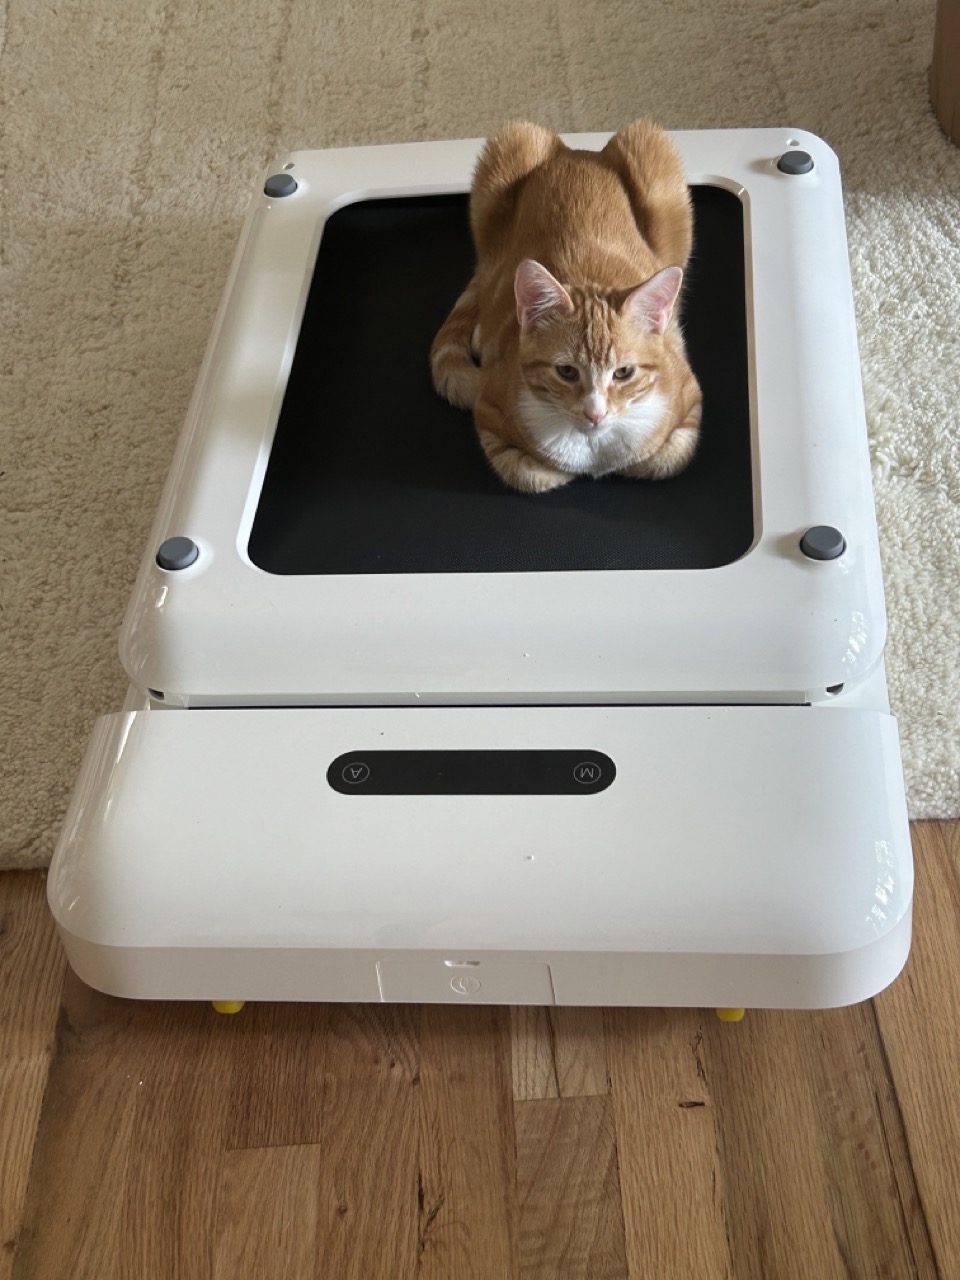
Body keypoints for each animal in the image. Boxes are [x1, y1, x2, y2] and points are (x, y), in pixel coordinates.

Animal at [432, 120, 701, 491]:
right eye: (566, 371)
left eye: (624, 373)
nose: (595, 413)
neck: (595, 448)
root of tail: (578, 152)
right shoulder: (487, 410)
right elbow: (531, 473)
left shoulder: (690, 398)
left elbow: (664, 459)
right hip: (510, 148)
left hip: (652, 152)